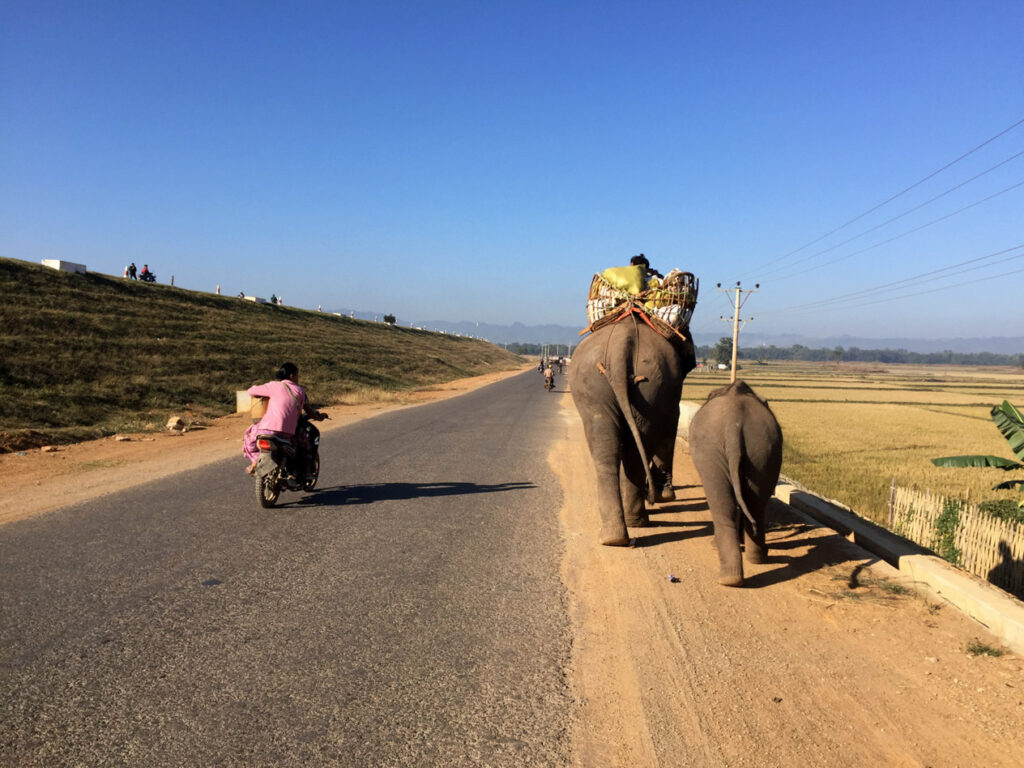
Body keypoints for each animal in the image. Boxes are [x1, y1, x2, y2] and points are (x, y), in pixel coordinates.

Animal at [565, 319, 700, 548]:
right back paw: (634, 523)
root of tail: (623, 342)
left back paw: (616, 535)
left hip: (600, 385)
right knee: (636, 448)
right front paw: (665, 496)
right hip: (648, 387)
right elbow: (669, 429)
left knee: (609, 447)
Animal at [688, 380, 782, 589]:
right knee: (755, 505)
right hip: (762, 450)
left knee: (723, 507)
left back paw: (728, 578)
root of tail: (733, 426)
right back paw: (755, 560)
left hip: (711, 451)